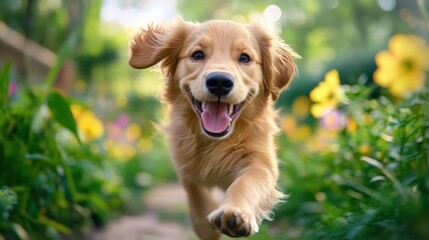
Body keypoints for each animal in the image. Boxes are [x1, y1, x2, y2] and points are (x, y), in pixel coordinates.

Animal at [129, 17, 300, 239]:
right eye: (197, 55)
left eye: (245, 58)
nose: (219, 81)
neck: (214, 140)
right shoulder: (184, 161)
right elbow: (195, 189)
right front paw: (204, 223)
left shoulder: (261, 161)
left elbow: (245, 183)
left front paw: (234, 213)